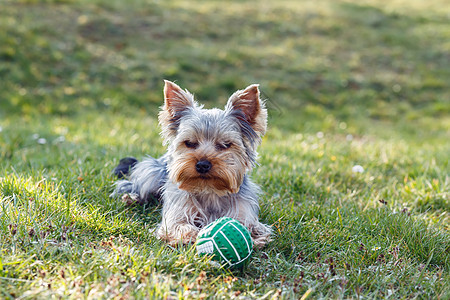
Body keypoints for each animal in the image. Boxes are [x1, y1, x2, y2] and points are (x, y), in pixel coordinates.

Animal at [112, 81, 272, 247]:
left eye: (225, 144)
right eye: (189, 143)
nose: (202, 164)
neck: (209, 189)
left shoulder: (243, 210)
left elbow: (249, 226)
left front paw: (253, 236)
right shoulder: (177, 212)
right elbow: (178, 225)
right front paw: (191, 235)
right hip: (152, 173)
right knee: (131, 185)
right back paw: (131, 198)